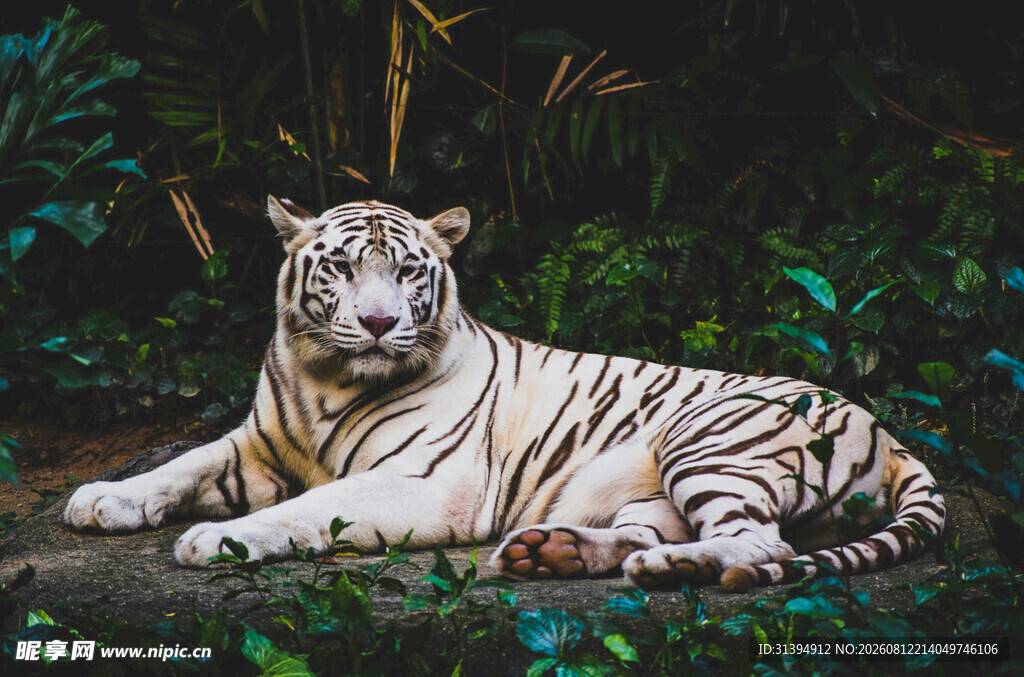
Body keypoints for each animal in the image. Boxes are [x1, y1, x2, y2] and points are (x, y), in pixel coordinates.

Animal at [63, 197, 945, 593]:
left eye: (408, 271)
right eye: (342, 267)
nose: (379, 323)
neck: (326, 376)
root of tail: (892, 435)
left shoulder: (423, 483)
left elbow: (306, 508)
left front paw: (217, 539)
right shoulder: (256, 443)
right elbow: (180, 463)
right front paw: (103, 498)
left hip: (709, 438)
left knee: (764, 544)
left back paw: (672, 567)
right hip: (654, 484)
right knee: (655, 530)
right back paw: (552, 550)